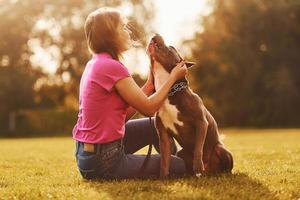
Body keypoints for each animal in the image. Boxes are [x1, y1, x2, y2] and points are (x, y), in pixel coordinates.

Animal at [146, 33, 233, 177]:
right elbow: (164, 161)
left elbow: (198, 148)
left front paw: (198, 166)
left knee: (226, 165)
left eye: (171, 47)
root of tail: (210, 172)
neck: (170, 91)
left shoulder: (201, 123)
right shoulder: (164, 136)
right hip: (181, 153)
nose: (155, 34)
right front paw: (163, 177)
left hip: (221, 149)